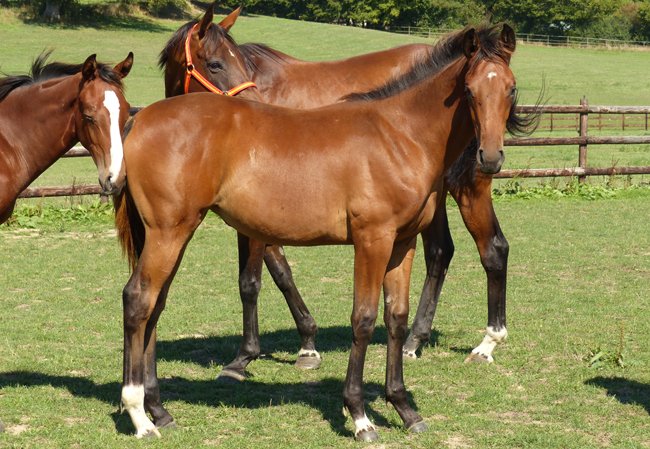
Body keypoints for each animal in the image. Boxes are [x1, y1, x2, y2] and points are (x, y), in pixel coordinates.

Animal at [115, 24, 523, 441]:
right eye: (469, 90)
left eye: (511, 89)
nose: (491, 157)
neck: (400, 135)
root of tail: (138, 120)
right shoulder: (372, 240)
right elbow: (363, 319)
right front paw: (359, 415)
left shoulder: (402, 244)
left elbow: (396, 317)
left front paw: (404, 407)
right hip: (168, 232)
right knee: (139, 299)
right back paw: (139, 415)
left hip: (175, 233)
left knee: (155, 305)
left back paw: (158, 409)